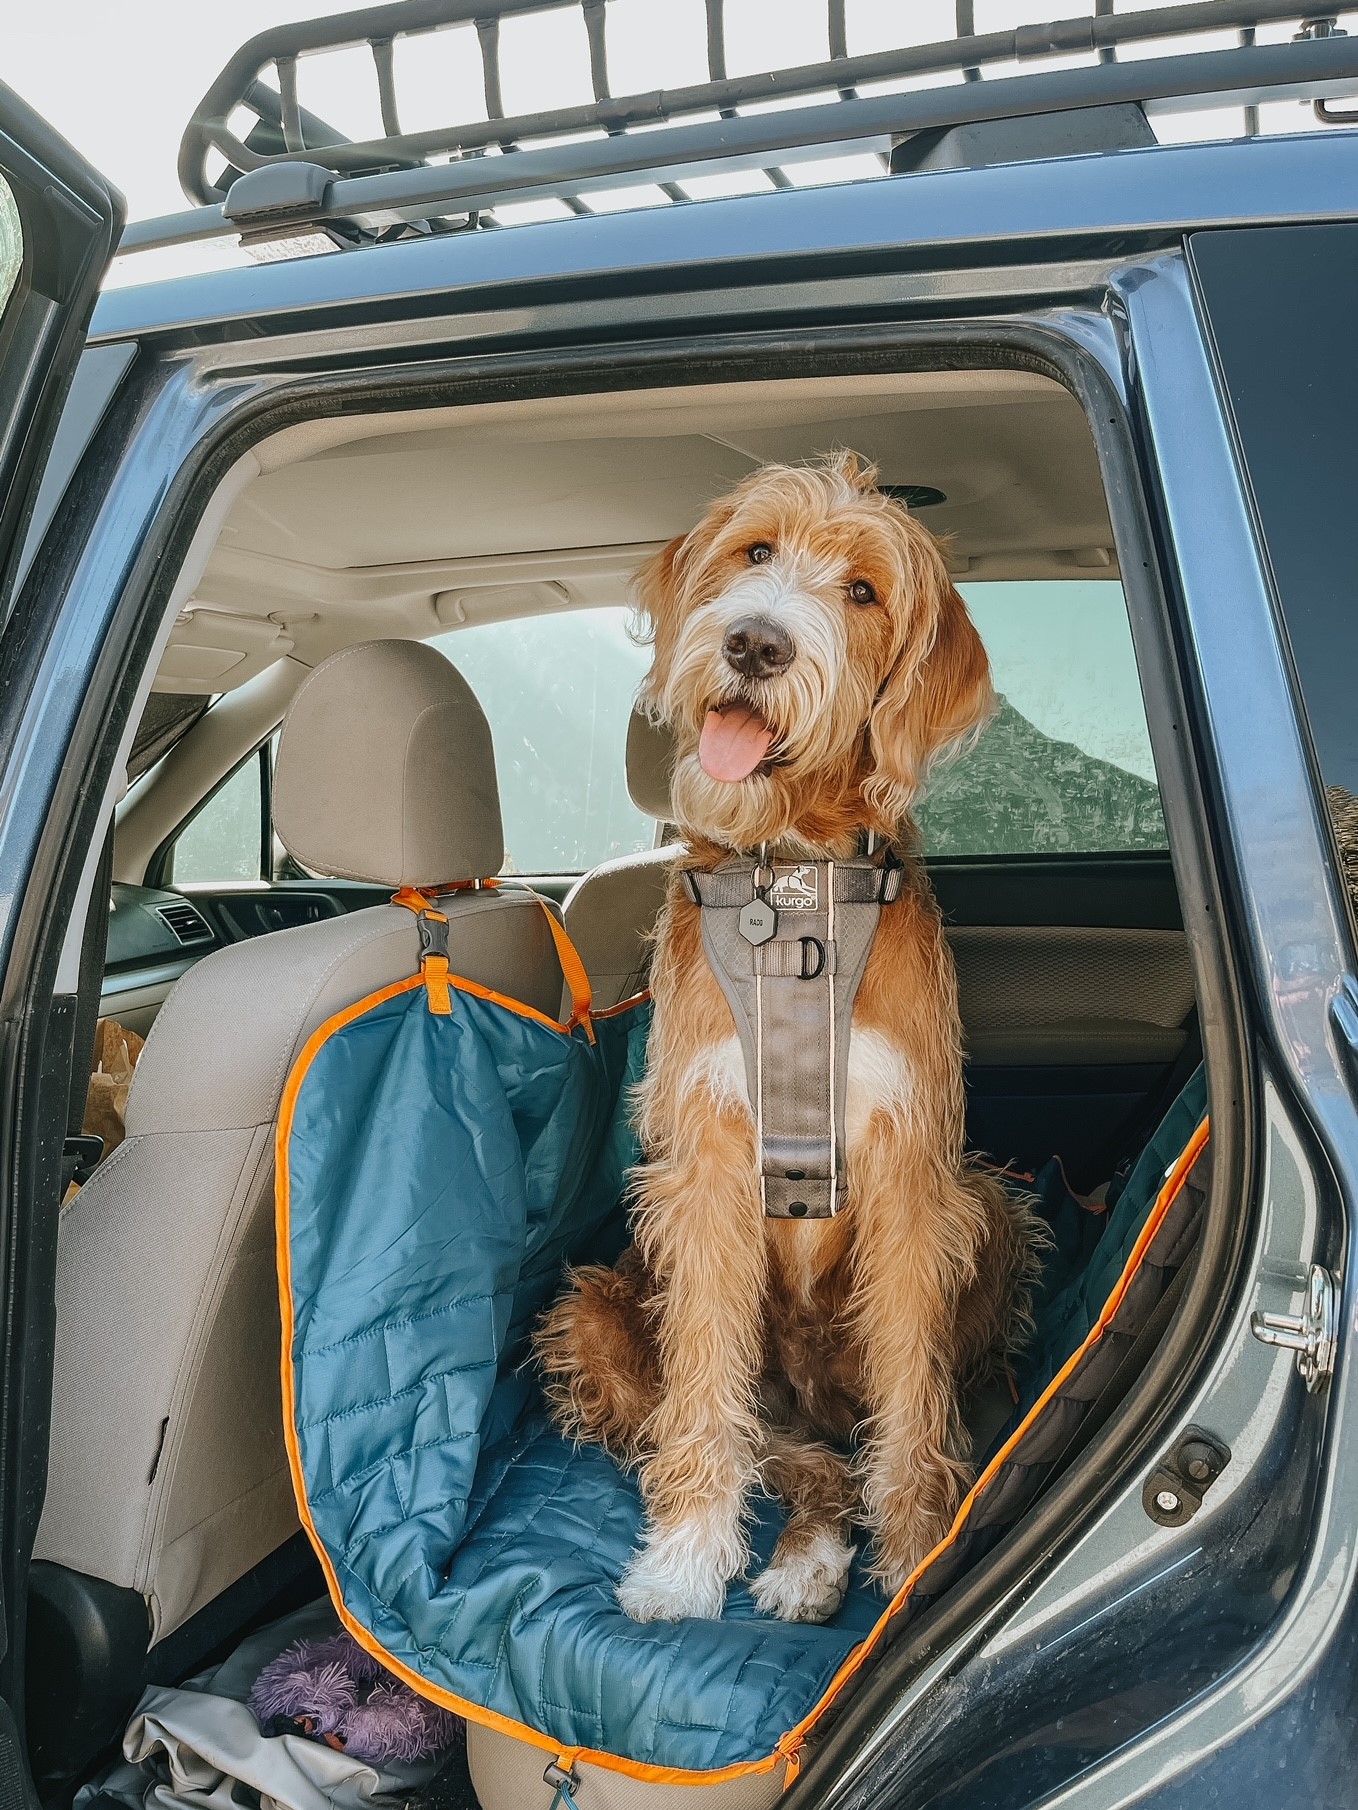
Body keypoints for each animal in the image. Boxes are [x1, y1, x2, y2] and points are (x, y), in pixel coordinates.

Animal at [535, 448, 1042, 1629]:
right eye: (754, 549)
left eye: (862, 591)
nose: (756, 643)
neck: (794, 876)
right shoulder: (706, 1165)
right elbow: (703, 1396)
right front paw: (684, 1557)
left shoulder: (912, 1171)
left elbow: (910, 1398)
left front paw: (918, 1552)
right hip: (597, 1305)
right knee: (788, 1451)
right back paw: (804, 1554)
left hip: (987, 1206)